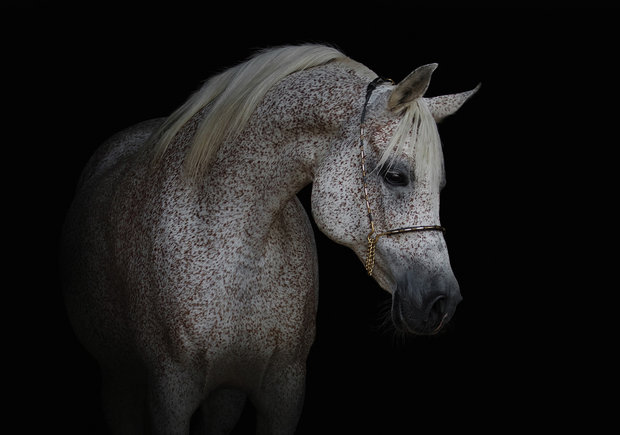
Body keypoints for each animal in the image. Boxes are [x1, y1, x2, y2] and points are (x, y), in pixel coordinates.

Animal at [61, 45, 480, 435]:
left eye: (440, 186)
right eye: (395, 175)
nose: (443, 301)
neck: (238, 250)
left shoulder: (284, 389)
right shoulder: (169, 394)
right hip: (119, 381)